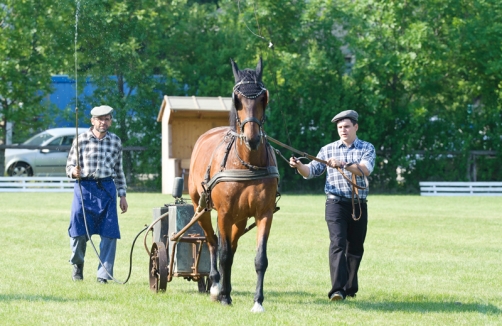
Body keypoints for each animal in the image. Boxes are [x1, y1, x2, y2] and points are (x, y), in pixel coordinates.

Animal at [190, 57, 280, 312]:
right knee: (213, 243)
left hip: (240, 218)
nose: (252, 138)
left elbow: (260, 258)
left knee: (231, 244)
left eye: (264, 98)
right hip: (201, 208)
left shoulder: (264, 213)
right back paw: (215, 285)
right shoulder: (224, 213)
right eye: (236, 100)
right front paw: (223, 295)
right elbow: (223, 253)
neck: (247, 163)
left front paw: (258, 301)